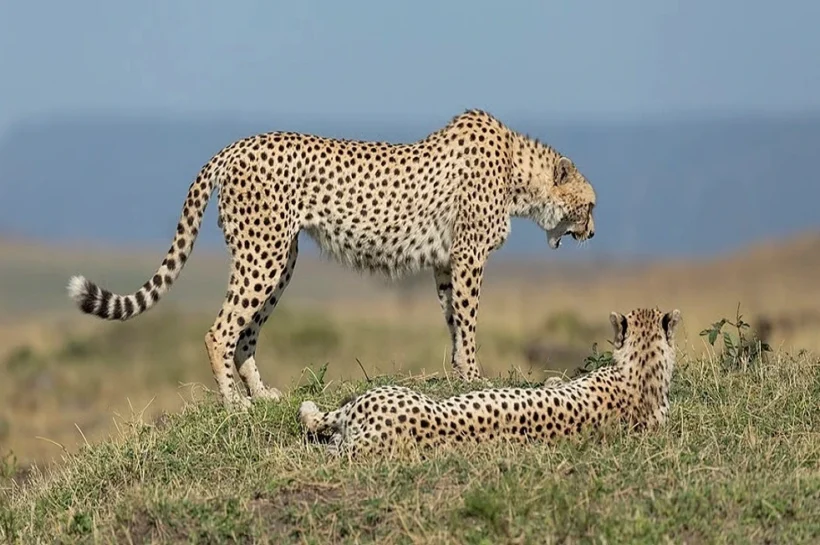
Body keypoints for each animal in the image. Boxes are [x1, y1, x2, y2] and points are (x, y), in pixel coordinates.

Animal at [65, 109, 597, 409]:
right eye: (590, 205)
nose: (592, 233)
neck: (519, 174)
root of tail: (236, 144)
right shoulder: (467, 258)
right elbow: (468, 321)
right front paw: (473, 378)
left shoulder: (446, 264)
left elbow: (452, 319)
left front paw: (456, 373)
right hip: (264, 253)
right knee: (221, 330)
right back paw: (234, 404)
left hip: (281, 257)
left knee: (246, 332)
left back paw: (262, 395)